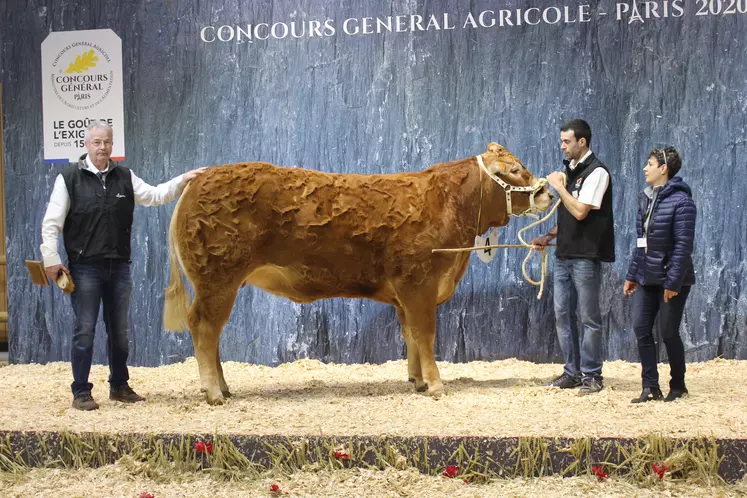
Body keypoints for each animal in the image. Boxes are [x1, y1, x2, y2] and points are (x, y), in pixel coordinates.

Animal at [168, 142, 556, 402]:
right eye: (515, 169)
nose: (548, 193)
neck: (452, 206)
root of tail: (200, 179)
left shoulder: (406, 294)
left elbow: (411, 336)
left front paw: (416, 380)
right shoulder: (419, 283)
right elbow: (426, 334)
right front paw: (435, 384)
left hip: (219, 283)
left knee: (213, 333)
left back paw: (224, 387)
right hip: (217, 279)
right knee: (204, 327)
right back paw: (213, 392)